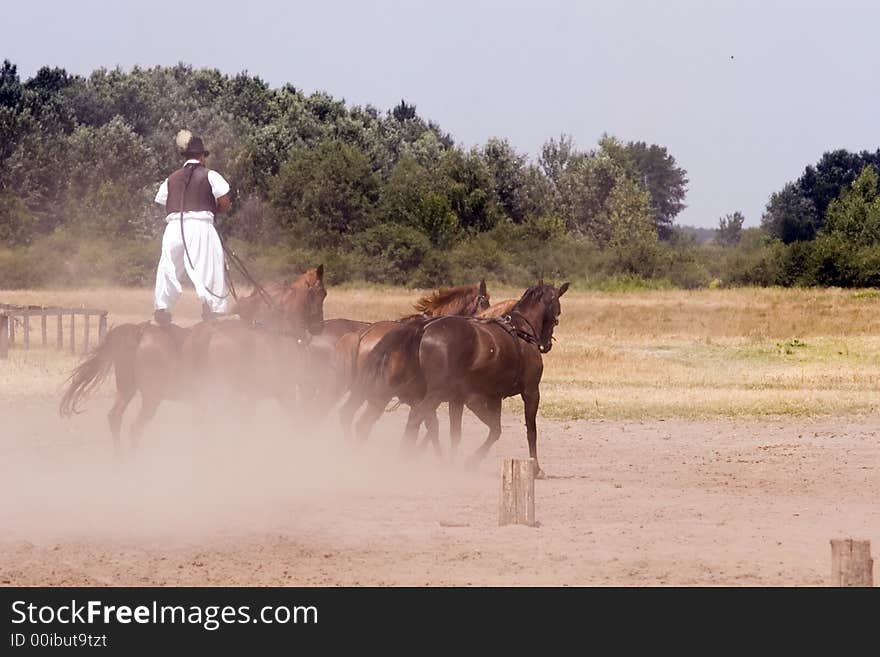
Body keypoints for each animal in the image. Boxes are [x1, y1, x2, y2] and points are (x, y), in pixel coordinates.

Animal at [59, 264, 326, 454]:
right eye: (321, 293)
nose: (318, 328)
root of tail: (140, 331)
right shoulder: (280, 393)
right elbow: (292, 422)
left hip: (128, 389)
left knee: (115, 418)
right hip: (153, 397)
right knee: (136, 428)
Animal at [360, 280, 568, 474]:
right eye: (557, 310)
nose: (546, 344)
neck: (521, 331)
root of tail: (423, 329)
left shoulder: (485, 397)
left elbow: (484, 430)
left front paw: (461, 462)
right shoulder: (530, 392)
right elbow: (531, 431)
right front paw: (536, 467)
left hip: (391, 394)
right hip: (431, 395)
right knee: (414, 419)